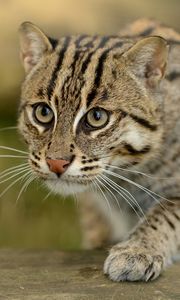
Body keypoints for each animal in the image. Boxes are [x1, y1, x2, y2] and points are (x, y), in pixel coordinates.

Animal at [17, 19, 180, 282]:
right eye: (43, 112)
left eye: (97, 117)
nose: (55, 163)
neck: (130, 175)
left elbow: (167, 213)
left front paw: (136, 251)